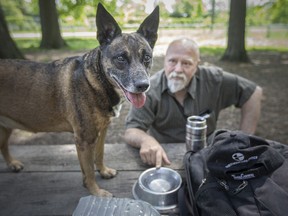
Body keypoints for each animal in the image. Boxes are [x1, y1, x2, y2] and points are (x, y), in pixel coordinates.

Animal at [0, 2, 160, 196]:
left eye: (147, 58)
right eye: (121, 58)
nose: (143, 85)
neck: (96, 80)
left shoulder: (101, 131)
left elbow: (99, 154)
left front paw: (104, 171)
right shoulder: (84, 139)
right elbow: (89, 171)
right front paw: (97, 193)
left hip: (6, 126)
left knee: (3, 146)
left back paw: (12, 163)